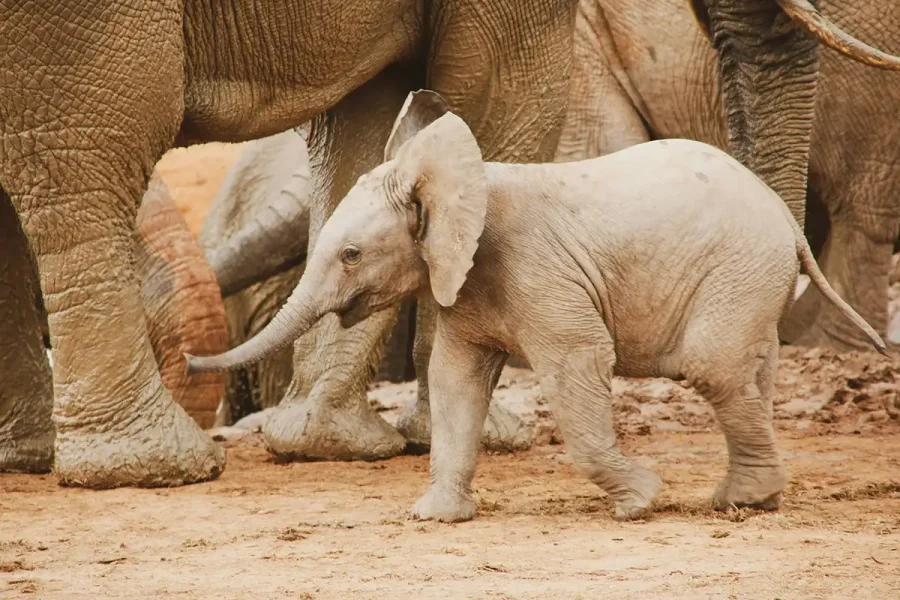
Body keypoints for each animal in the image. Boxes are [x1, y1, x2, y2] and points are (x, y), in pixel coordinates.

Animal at [0, 1, 576, 488]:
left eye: (352, 256)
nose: (188, 361)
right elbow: (496, 95)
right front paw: (492, 438)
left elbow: (366, 116)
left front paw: (323, 441)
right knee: (92, 151)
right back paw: (150, 469)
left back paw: (29, 458)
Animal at [188, 91, 884, 524]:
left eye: (352, 255)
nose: (191, 360)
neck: (456, 180)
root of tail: (786, 220)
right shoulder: (465, 284)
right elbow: (455, 380)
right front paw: (435, 518)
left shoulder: (539, 275)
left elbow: (578, 365)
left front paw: (640, 503)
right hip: (752, 280)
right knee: (750, 373)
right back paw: (749, 502)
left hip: (739, 268)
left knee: (713, 367)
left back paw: (739, 501)